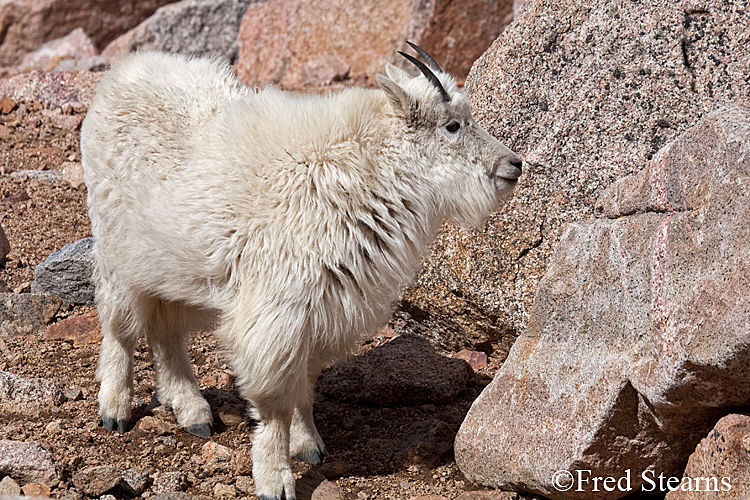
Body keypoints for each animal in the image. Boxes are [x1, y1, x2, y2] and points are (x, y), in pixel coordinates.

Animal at [79, 44, 520, 500]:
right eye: (452, 125)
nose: (514, 165)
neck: (366, 171)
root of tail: (125, 68)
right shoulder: (277, 313)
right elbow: (275, 401)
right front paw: (276, 478)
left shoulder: (324, 313)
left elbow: (305, 387)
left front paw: (309, 446)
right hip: (117, 247)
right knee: (120, 327)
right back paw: (115, 409)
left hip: (172, 264)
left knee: (166, 329)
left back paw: (192, 411)